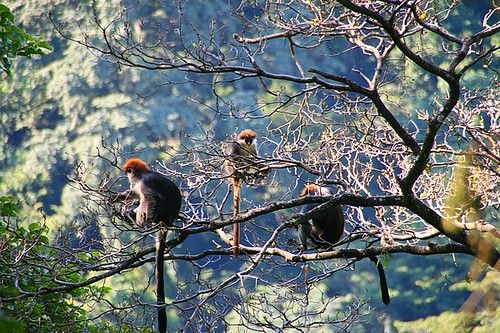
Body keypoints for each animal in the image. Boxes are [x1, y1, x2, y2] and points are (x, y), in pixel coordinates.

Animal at [113, 158, 182, 332]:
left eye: (128, 172)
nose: (128, 178)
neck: (142, 175)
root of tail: (167, 223)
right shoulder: (137, 186)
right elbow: (133, 193)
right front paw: (115, 197)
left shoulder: (145, 183)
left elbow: (151, 199)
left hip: (160, 215)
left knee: (148, 201)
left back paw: (136, 219)